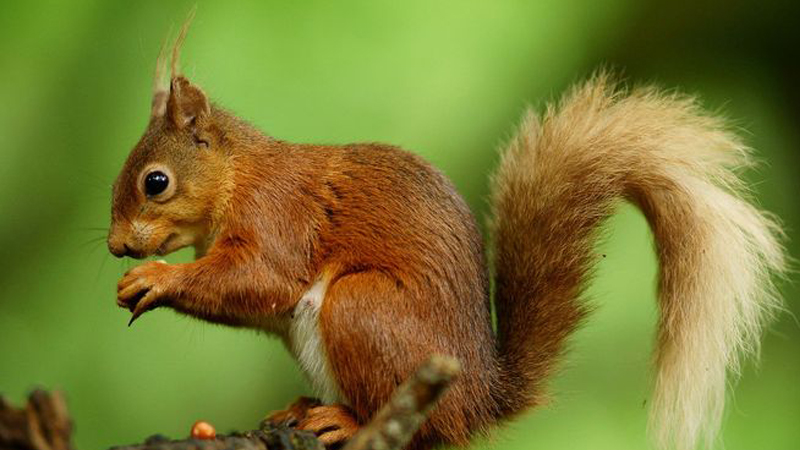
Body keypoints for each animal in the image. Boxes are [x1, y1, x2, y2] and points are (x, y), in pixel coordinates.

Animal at [108, 15, 788, 450]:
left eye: (156, 182)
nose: (116, 247)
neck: (236, 177)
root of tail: (480, 399)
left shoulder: (277, 218)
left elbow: (261, 280)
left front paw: (156, 278)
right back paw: (303, 408)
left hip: (362, 308)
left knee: (421, 429)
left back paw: (346, 422)